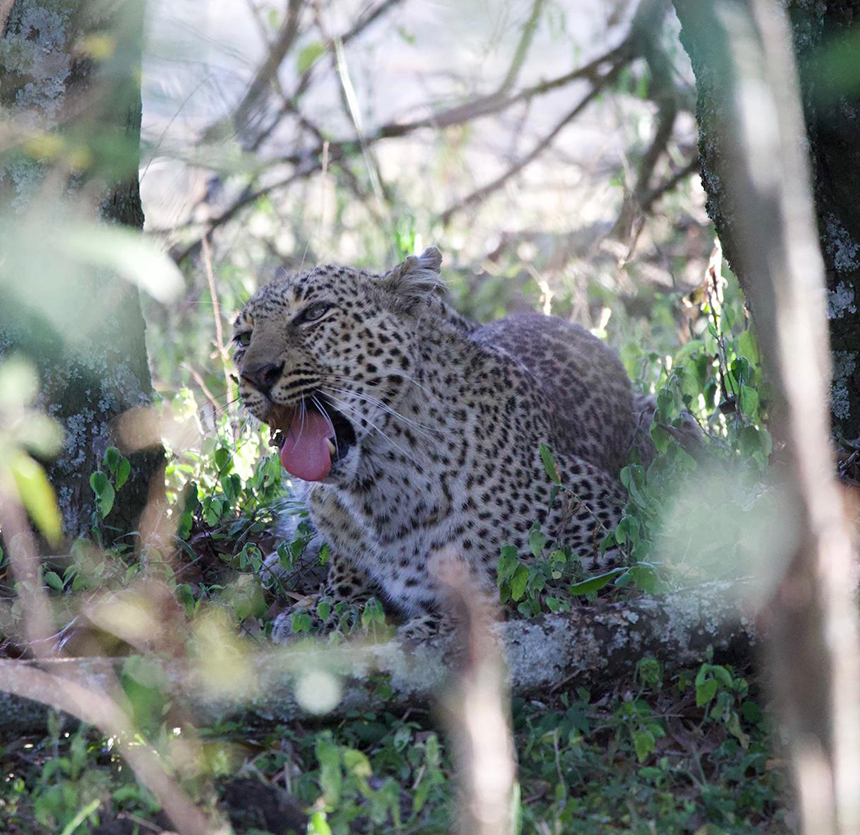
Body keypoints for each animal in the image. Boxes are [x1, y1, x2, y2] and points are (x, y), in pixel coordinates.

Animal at [232, 247, 651, 641]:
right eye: (242, 338)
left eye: (314, 313)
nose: (255, 374)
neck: (381, 494)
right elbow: (342, 574)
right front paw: (323, 610)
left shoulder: (614, 539)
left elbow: (521, 589)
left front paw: (427, 625)